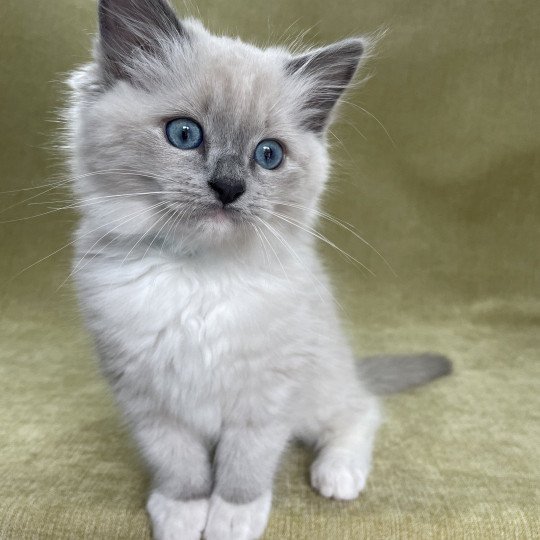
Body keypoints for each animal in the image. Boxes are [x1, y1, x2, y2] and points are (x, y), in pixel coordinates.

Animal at [65, 1, 450, 540]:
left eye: (268, 155)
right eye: (184, 134)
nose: (229, 187)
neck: (199, 276)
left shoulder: (266, 394)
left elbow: (243, 465)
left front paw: (232, 517)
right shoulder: (147, 398)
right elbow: (178, 463)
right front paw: (183, 513)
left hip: (319, 388)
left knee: (361, 409)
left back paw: (338, 475)